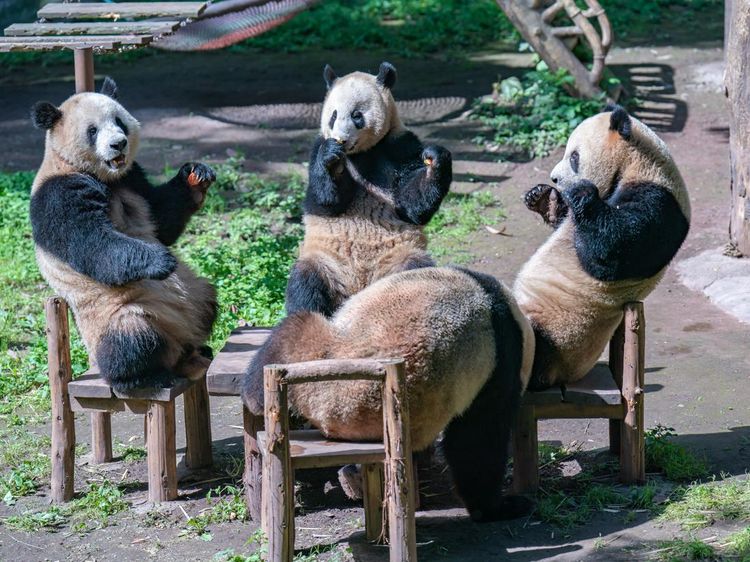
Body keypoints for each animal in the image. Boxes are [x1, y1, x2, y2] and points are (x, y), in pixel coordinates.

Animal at [29, 77, 218, 392]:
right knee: (130, 341)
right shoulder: (58, 194)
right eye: (92, 130)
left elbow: (161, 219)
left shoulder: (132, 179)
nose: (119, 143)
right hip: (114, 315)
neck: (105, 178)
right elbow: (93, 244)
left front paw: (195, 175)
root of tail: (177, 346)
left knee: (206, 299)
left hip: (193, 294)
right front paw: (161, 260)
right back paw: (144, 376)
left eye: (119, 121)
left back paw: (200, 347)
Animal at [243, 266, 535, 522]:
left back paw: (254, 397)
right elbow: (478, 437)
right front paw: (497, 507)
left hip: (318, 349)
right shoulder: (500, 360)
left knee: (293, 332)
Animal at [285, 61, 452, 316]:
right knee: (306, 283)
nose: (341, 140)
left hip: (399, 257)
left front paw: (435, 160)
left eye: (357, 116)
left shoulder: (399, 145)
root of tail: (358, 287)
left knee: (417, 273)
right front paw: (331, 159)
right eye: (333, 116)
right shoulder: (317, 148)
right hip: (325, 261)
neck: (358, 154)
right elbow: (327, 201)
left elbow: (411, 205)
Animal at [514, 105, 690, 390]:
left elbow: (611, 254)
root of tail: (562, 376)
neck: (636, 163)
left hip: (558, 335)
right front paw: (544, 198)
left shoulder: (659, 201)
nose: (554, 178)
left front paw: (581, 192)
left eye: (574, 157)